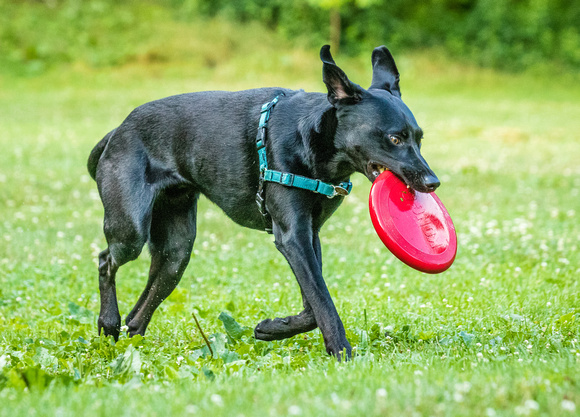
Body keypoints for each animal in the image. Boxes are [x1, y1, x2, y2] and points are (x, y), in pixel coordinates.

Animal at [88, 45, 438, 358]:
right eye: (394, 138)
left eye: (419, 138)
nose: (432, 182)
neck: (314, 144)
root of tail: (118, 130)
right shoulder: (292, 237)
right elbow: (322, 300)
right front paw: (342, 353)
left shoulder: (309, 234)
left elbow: (312, 304)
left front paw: (273, 328)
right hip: (131, 230)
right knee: (106, 260)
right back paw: (108, 322)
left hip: (176, 253)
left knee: (141, 309)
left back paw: (131, 339)